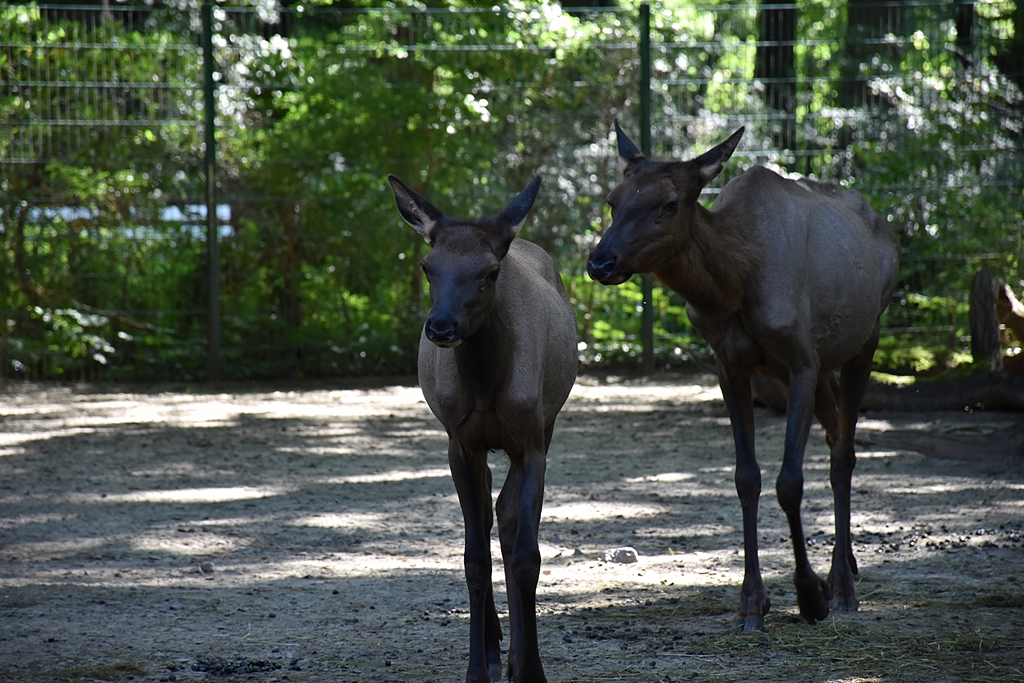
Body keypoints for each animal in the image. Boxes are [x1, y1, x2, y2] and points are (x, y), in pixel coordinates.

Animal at [388, 174, 577, 682]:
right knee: (492, 514)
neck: (487, 385)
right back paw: (494, 646)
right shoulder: (461, 443)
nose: (441, 326)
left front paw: (532, 669)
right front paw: (477, 666)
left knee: (507, 517)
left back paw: (512, 654)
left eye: (490, 271)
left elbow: (527, 553)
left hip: (545, 424)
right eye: (428, 266)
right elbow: (473, 558)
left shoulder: (532, 441)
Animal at [586, 121, 900, 631]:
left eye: (669, 204)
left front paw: (809, 594)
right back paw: (847, 563)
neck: (735, 282)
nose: (600, 261)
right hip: (826, 364)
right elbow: (746, 478)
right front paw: (752, 601)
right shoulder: (729, 366)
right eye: (613, 200)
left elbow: (789, 482)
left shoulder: (801, 361)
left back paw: (841, 586)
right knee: (835, 432)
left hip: (866, 338)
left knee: (843, 454)